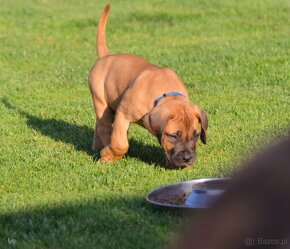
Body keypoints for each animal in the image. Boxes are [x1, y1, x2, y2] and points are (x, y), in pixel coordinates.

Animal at [89, 4, 208, 169]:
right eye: (173, 136)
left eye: (196, 135)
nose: (187, 158)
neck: (165, 93)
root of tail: (106, 56)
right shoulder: (123, 114)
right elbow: (121, 144)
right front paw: (108, 156)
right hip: (101, 101)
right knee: (104, 126)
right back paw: (104, 148)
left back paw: (97, 146)